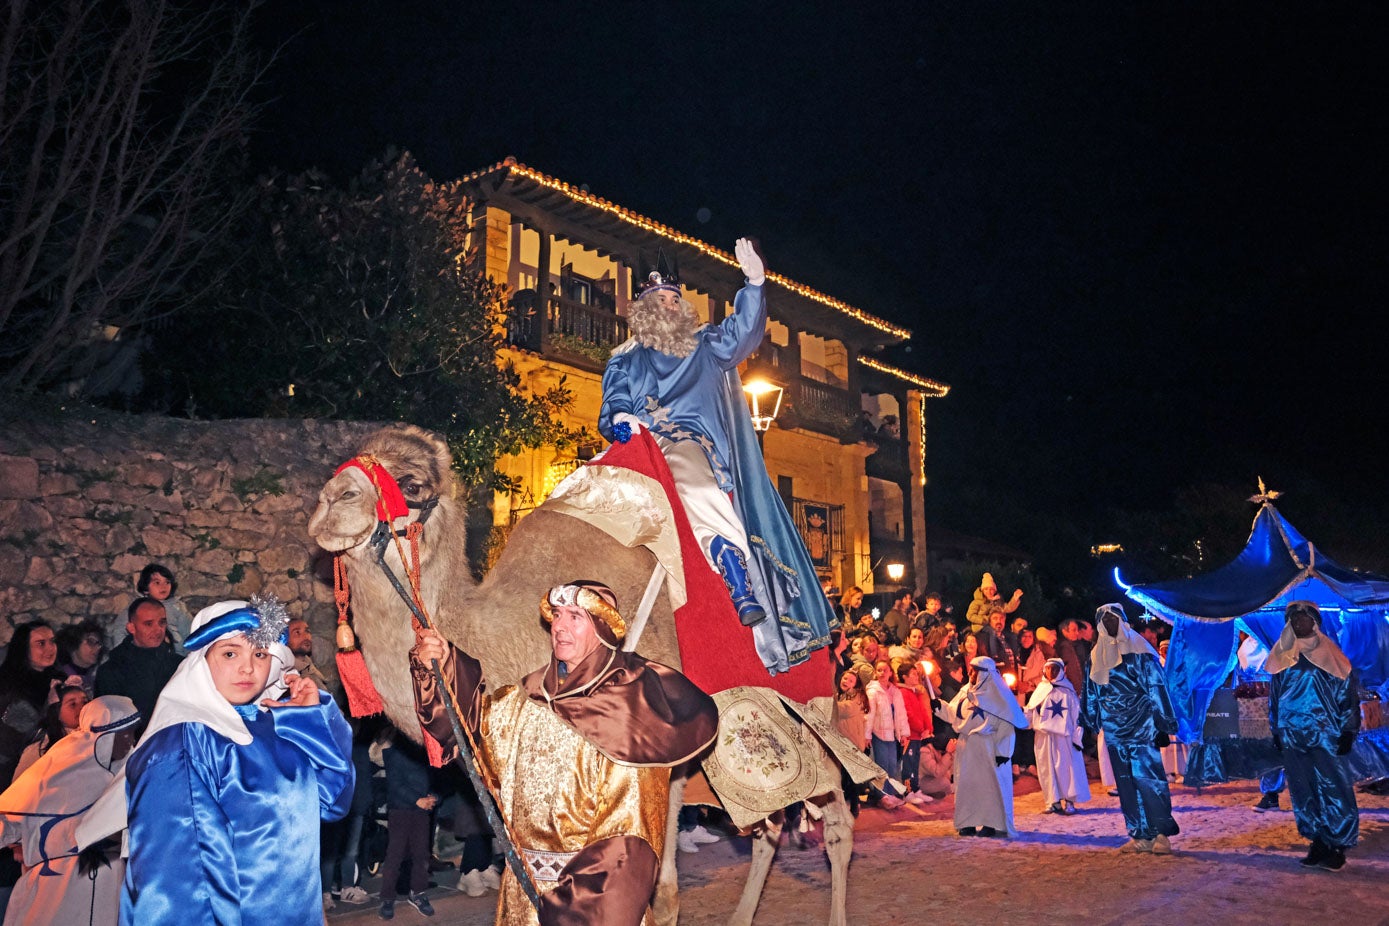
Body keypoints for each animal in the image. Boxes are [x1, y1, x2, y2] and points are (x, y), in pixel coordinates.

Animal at [309, 427, 861, 926]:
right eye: (342, 469)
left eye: (412, 483)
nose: (331, 501)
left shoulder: (664, 759)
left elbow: (661, 895)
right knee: (770, 825)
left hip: (807, 715)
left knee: (835, 818)